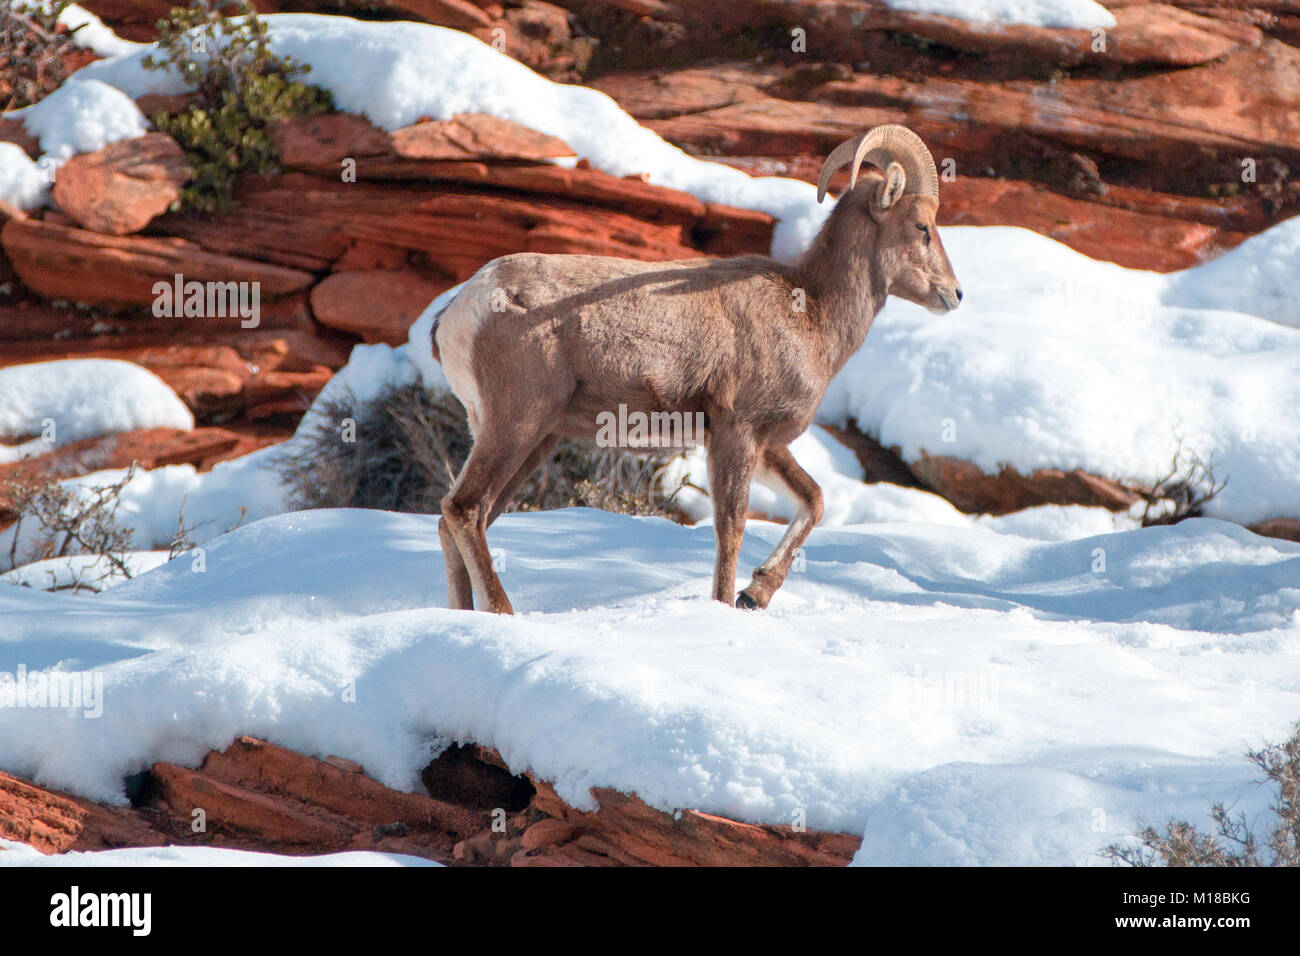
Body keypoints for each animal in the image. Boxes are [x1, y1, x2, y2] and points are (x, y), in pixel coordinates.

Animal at [431, 124, 962, 613]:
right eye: (921, 226)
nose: (955, 294)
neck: (809, 312)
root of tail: (461, 309)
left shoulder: (764, 445)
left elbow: (814, 500)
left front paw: (755, 594)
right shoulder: (737, 434)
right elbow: (731, 529)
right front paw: (728, 604)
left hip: (532, 440)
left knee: (456, 519)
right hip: (516, 425)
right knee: (464, 509)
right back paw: (503, 613)